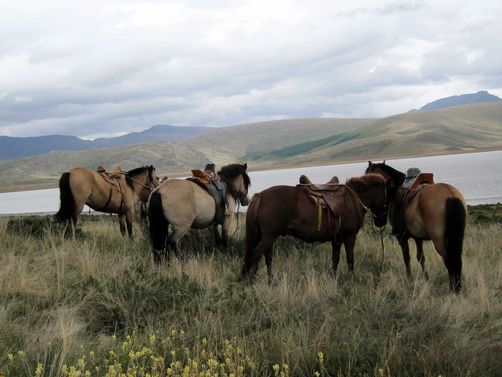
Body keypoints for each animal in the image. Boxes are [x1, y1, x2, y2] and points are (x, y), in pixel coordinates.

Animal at [240, 173, 392, 282]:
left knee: (267, 257)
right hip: (269, 236)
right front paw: (352, 279)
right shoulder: (350, 236)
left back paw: (270, 282)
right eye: (387, 197)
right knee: (256, 254)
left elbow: (335, 259)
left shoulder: (337, 240)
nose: (382, 221)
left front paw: (333, 278)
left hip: (268, 237)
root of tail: (260, 196)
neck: (352, 199)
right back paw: (251, 283)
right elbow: (350, 258)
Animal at [364, 160, 466, 292]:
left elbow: (407, 258)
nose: (379, 220)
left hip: (439, 240)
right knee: (456, 259)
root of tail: (450, 194)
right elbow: (421, 258)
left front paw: (409, 280)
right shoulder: (418, 237)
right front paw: (426, 278)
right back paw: (456, 287)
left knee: (448, 259)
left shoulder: (401, 237)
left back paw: (451, 289)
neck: (395, 191)